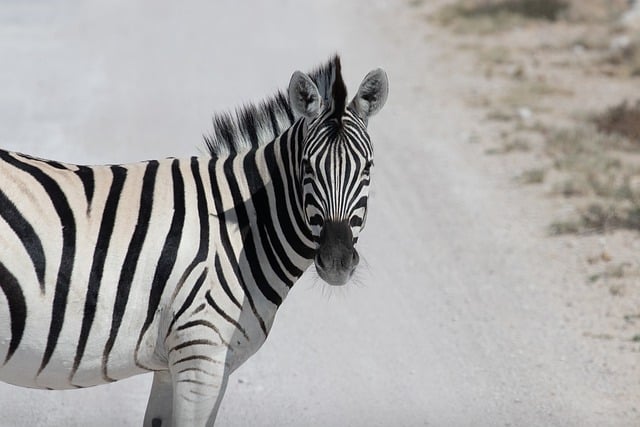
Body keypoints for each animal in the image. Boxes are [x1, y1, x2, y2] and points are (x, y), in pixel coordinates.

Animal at [0, 55, 388, 426]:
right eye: (307, 167)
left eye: (368, 167)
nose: (337, 261)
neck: (241, 233)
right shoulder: (201, 356)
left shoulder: (175, 366)